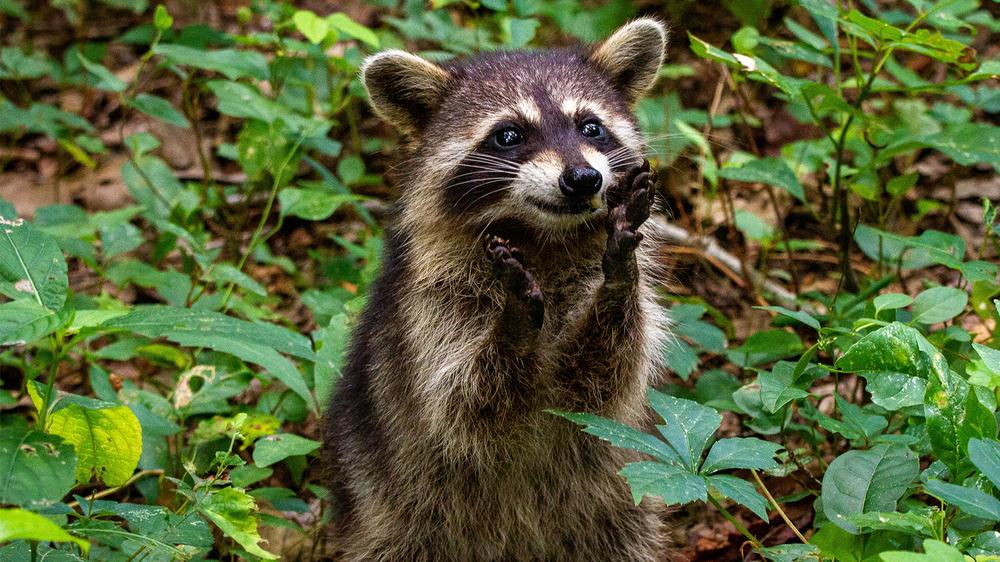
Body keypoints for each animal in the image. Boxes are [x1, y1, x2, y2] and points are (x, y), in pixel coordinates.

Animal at [322, 18, 671, 562]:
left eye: (590, 126)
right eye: (508, 135)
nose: (583, 178)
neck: (542, 237)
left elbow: (604, 381)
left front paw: (618, 279)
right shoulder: (430, 306)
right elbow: (463, 402)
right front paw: (513, 325)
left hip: (614, 512)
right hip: (396, 515)